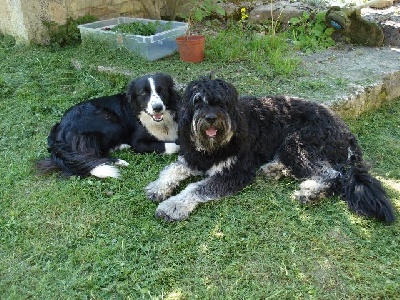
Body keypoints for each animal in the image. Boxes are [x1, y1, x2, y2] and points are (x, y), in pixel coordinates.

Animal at [37, 73, 181, 178]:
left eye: (162, 91)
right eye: (143, 94)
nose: (157, 108)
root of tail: (60, 127)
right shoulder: (138, 142)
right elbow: (170, 146)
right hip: (113, 126)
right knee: (95, 154)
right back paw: (119, 160)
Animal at [145, 76, 396, 224]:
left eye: (222, 102)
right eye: (198, 101)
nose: (210, 118)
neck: (213, 147)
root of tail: (345, 130)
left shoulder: (235, 172)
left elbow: (196, 188)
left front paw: (173, 205)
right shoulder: (193, 158)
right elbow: (172, 170)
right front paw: (158, 188)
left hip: (299, 142)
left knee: (332, 174)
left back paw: (309, 192)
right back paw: (273, 170)